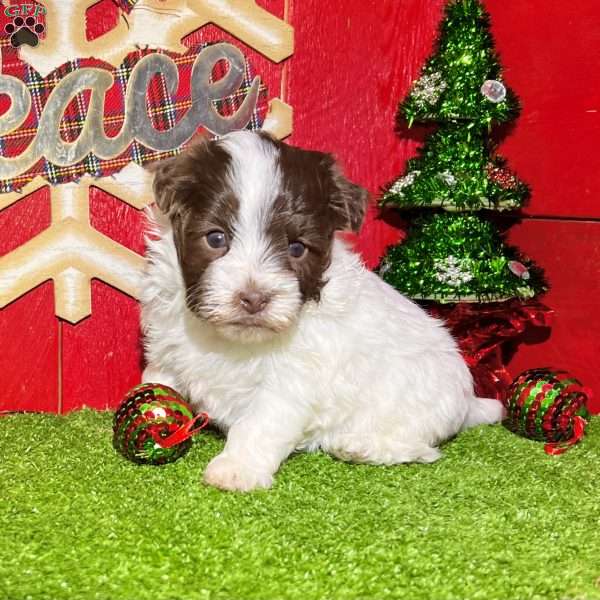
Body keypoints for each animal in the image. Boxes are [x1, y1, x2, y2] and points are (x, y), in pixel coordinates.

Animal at [141, 131, 502, 492]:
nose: (254, 298)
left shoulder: (290, 381)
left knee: (420, 446)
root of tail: (468, 402)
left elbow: (260, 423)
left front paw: (236, 468)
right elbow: (157, 380)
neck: (235, 341)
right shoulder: (167, 349)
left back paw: (360, 445)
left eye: (296, 248)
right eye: (216, 238)